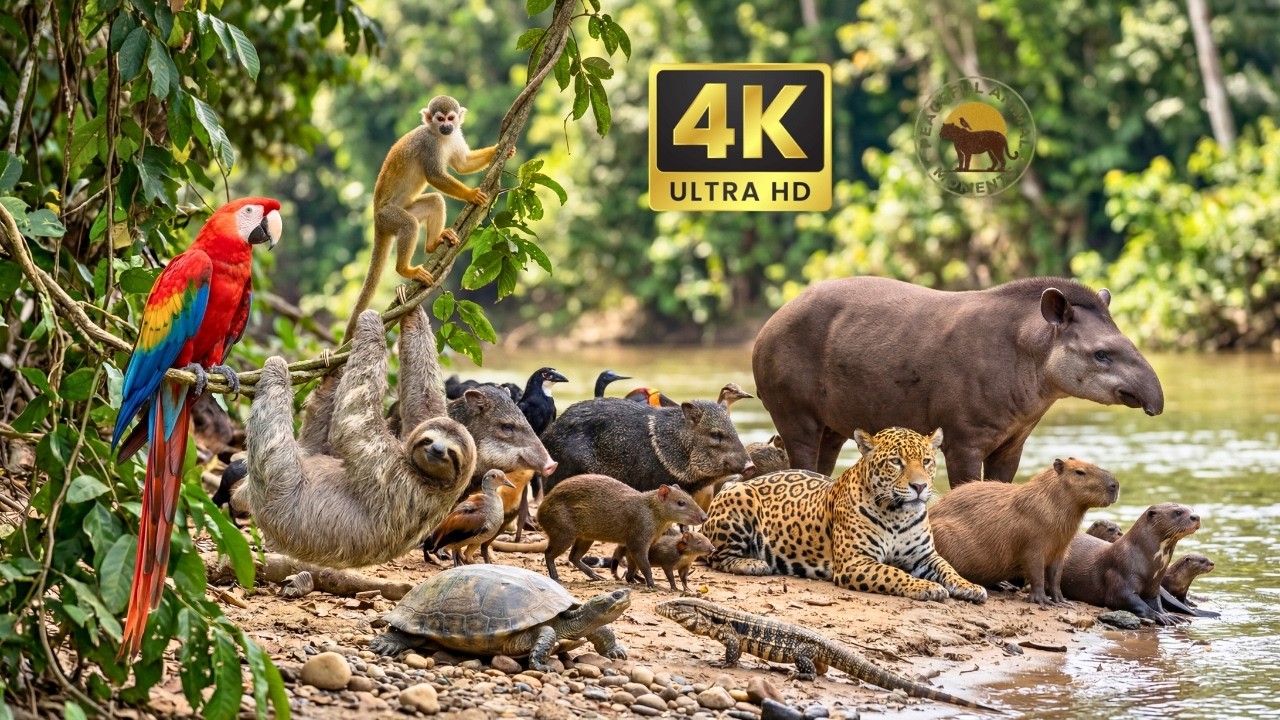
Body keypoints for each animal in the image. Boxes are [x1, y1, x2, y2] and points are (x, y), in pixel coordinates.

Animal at [703, 426, 987, 603]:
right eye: (896, 462)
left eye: (926, 461)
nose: (920, 487)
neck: (898, 515)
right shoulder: (855, 562)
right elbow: (893, 573)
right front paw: (925, 587)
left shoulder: (925, 556)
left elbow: (948, 568)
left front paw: (969, 586)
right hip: (740, 497)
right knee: (718, 557)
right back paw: (753, 563)